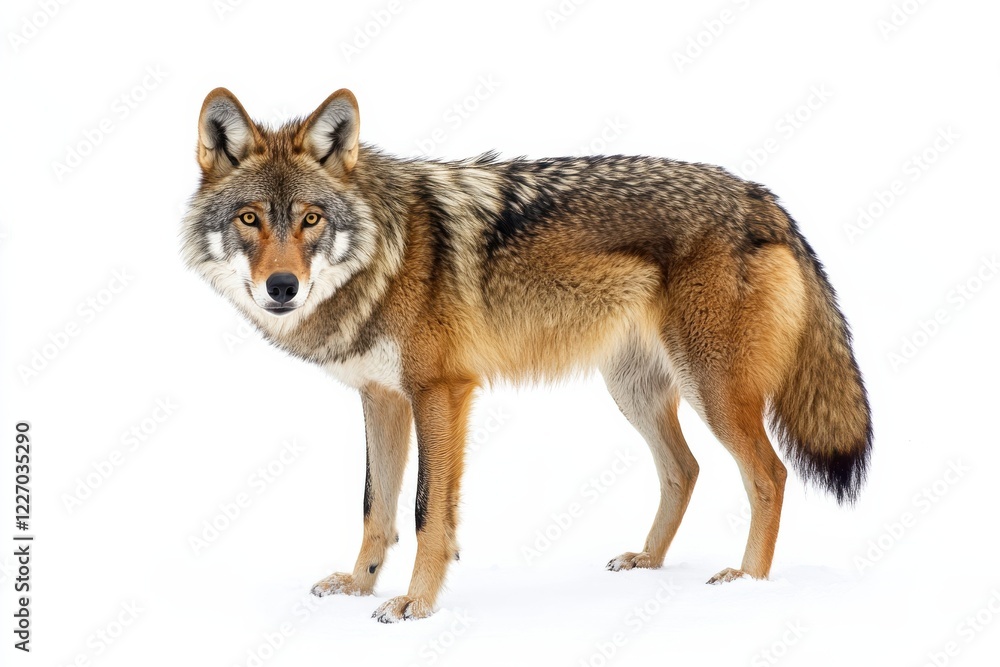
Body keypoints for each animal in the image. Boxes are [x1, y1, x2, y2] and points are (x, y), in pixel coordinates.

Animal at [182, 88, 872, 623]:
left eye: (310, 219)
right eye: (250, 219)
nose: (282, 287)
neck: (387, 254)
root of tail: (763, 197)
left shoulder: (441, 392)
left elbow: (427, 512)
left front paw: (415, 604)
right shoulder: (382, 399)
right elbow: (375, 507)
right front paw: (359, 586)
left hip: (713, 392)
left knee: (769, 475)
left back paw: (747, 583)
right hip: (635, 392)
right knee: (686, 469)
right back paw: (648, 561)